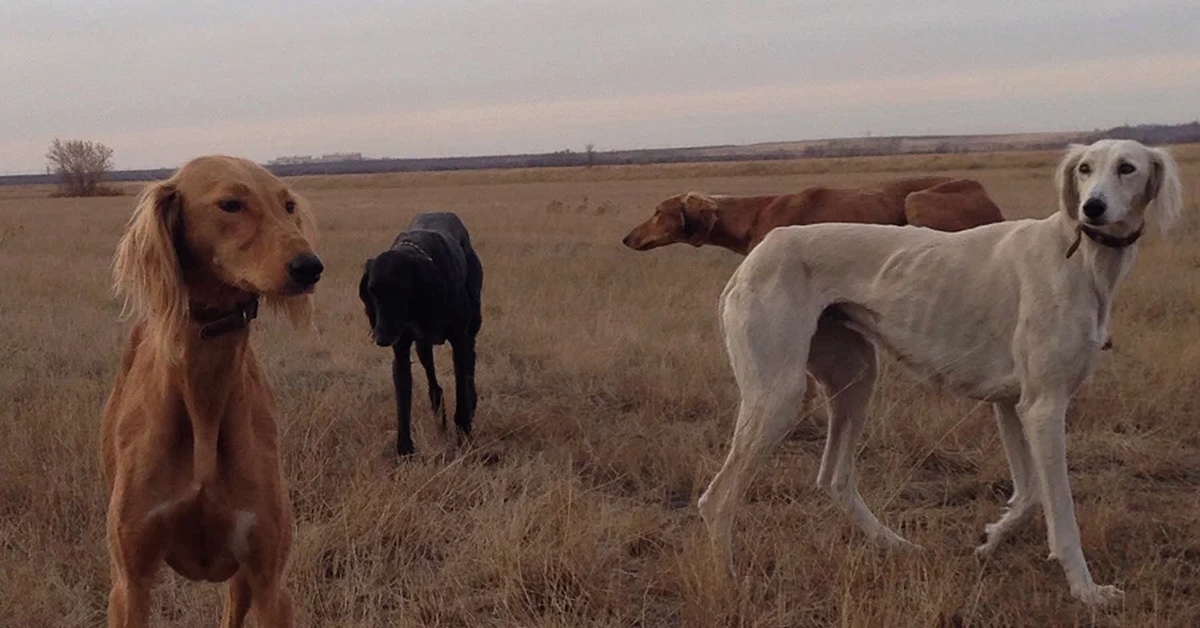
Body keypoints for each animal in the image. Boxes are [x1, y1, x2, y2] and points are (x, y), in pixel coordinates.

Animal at [101, 157, 321, 628]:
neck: (204, 401)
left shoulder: (268, 579)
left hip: (244, 579)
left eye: (288, 205)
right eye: (231, 204)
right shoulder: (130, 582)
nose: (310, 266)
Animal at [357, 212, 484, 456]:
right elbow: (403, 402)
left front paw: (464, 435)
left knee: (470, 364)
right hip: (423, 346)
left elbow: (461, 391)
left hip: (473, 325)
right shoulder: (402, 351)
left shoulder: (459, 342)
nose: (381, 338)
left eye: (400, 290)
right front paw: (405, 450)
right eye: (372, 290)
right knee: (434, 382)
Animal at [700, 139, 1185, 607]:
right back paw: (727, 582)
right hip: (778, 397)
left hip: (856, 378)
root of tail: (758, 253)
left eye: (1127, 168)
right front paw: (1087, 591)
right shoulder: (1045, 407)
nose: (1092, 208)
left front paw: (991, 538)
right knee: (717, 499)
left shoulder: (1013, 405)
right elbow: (1061, 513)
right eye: (1084, 168)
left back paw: (894, 544)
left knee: (834, 479)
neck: (1080, 256)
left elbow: (1029, 495)